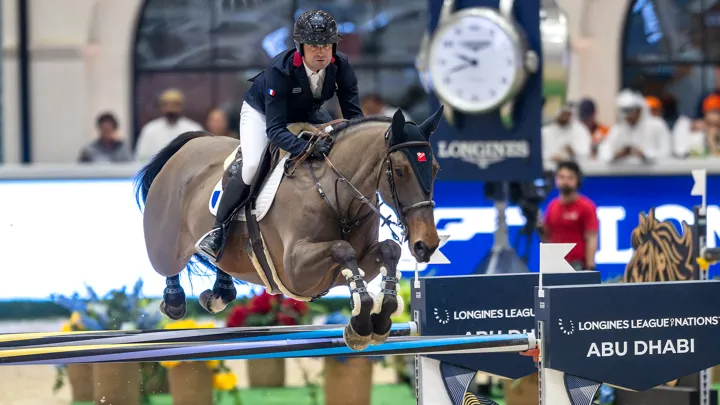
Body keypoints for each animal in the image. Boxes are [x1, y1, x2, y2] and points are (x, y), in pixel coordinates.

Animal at [133, 106, 444, 350]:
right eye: (400, 171)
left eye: (436, 169)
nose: (425, 245)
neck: (335, 195)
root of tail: (188, 146)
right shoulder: (295, 270)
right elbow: (342, 249)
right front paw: (360, 323)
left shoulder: (364, 260)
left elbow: (388, 250)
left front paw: (380, 317)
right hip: (165, 245)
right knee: (168, 265)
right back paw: (175, 300)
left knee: (219, 263)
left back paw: (219, 292)